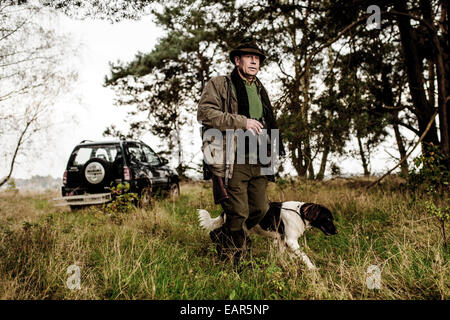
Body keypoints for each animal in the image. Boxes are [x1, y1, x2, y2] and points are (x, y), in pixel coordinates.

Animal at [198, 201, 338, 268]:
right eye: (328, 219)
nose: (337, 232)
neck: (300, 213)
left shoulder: (282, 240)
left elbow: (285, 255)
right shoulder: (291, 240)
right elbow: (304, 256)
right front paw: (312, 268)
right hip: (235, 229)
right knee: (215, 233)